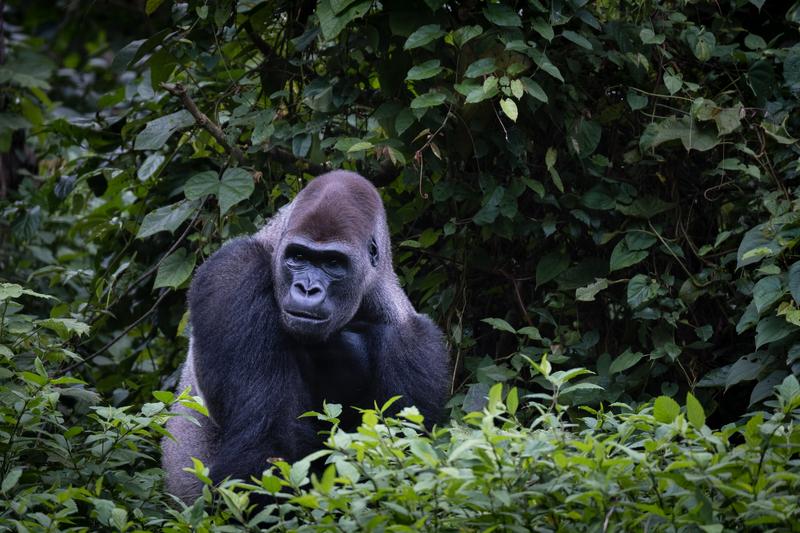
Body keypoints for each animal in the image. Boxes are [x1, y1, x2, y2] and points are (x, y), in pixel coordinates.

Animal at [161, 170, 450, 503]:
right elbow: (268, 448)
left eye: (333, 263)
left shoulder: (415, 338)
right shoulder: (233, 273)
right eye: (297, 257)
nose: (308, 289)